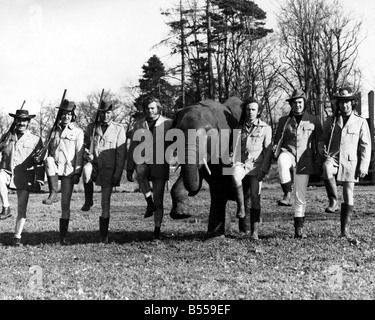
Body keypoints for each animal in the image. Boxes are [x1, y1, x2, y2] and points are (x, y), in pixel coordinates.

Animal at [170, 97, 244, 238]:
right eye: (177, 133)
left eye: (209, 135)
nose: (192, 193)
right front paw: (180, 215)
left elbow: (219, 183)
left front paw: (215, 236)